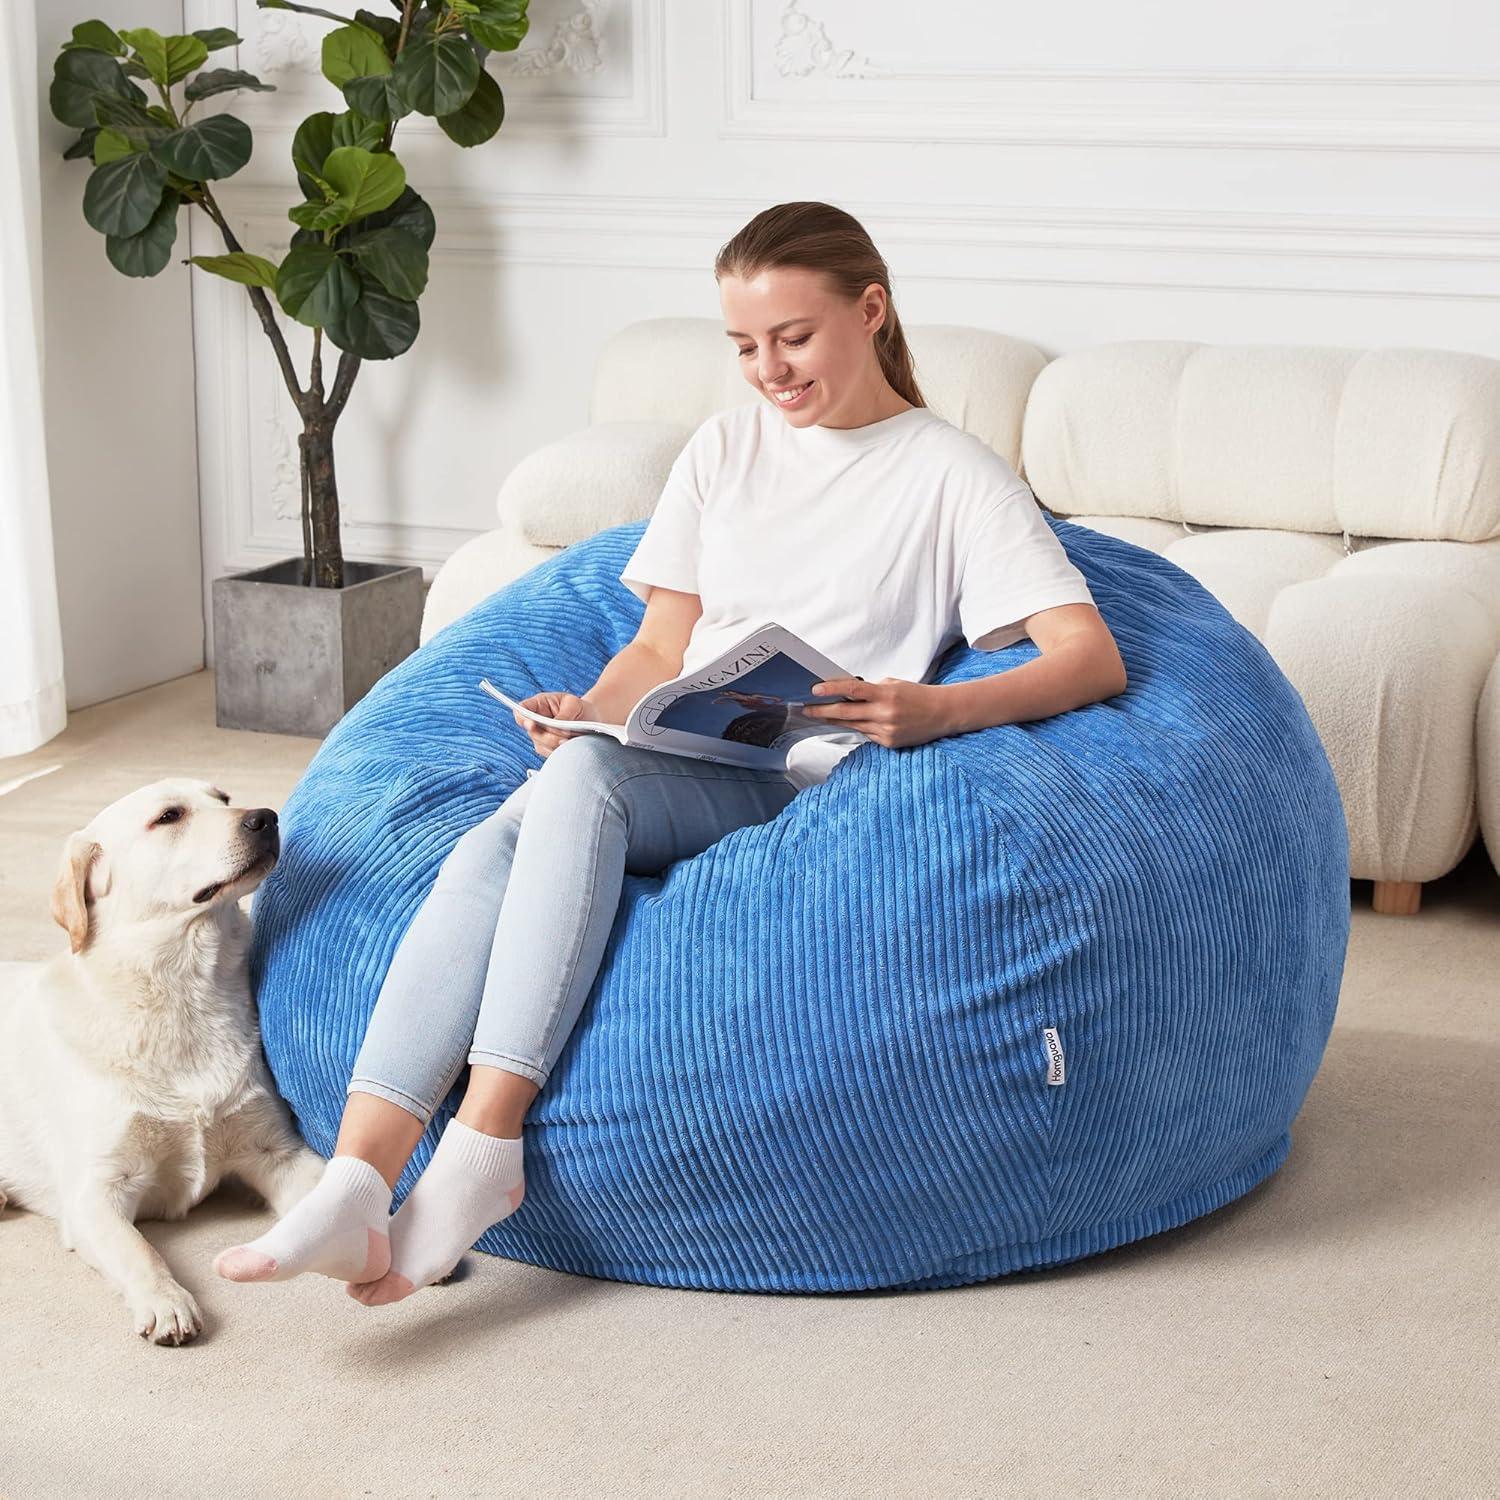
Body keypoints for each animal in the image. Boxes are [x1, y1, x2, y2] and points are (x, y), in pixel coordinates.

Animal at [0, 786, 327, 1350]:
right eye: (169, 816)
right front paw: (167, 1301)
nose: (266, 818)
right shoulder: (96, 1193)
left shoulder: (275, 1152)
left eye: (223, 796)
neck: (181, 996)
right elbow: (141, 1251)